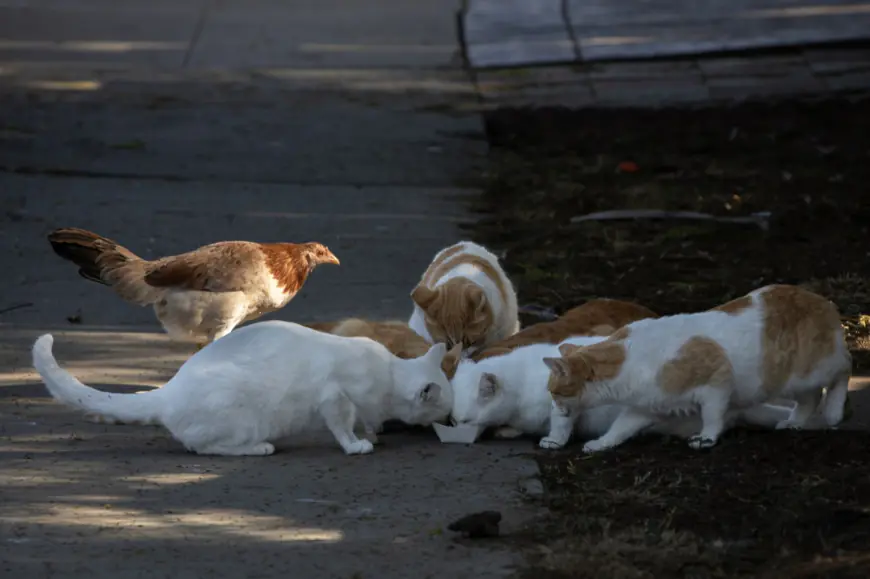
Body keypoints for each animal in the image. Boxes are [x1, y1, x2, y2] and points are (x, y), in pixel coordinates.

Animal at [32, 318, 456, 458]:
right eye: (446, 410)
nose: (453, 419)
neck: (389, 372)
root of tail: (169, 390)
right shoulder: (334, 397)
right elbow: (343, 427)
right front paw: (357, 445)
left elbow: (365, 419)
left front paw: (373, 431)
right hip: (239, 413)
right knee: (203, 446)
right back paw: (260, 448)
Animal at [450, 336, 796, 444]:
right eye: (453, 422)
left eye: (463, 422)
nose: (456, 431)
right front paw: (508, 430)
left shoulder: (564, 402)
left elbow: (560, 424)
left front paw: (552, 441)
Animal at [540, 286, 856, 454]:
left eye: (555, 392)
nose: (554, 408)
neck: (628, 362)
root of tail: (824, 300)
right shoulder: (644, 408)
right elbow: (620, 428)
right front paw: (601, 444)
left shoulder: (717, 383)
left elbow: (713, 416)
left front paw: (706, 438)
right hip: (794, 382)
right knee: (810, 397)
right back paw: (795, 422)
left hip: (812, 368)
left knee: (845, 368)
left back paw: (833, 412)